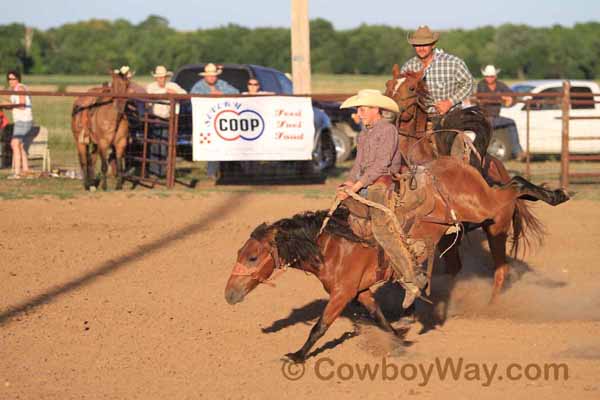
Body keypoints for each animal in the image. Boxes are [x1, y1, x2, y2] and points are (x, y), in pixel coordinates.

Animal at [224, 158, 568, 364]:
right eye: (239, 254)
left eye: (252, 256)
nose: (229, 294)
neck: (333, 244)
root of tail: (453, 163)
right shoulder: (361, 292)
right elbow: (379, 318)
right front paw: (400, 338)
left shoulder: (342, 294)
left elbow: (320, 326)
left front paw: (296, 356)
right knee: (514, 190)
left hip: (485, 209)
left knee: (515, 187)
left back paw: (557, 195)